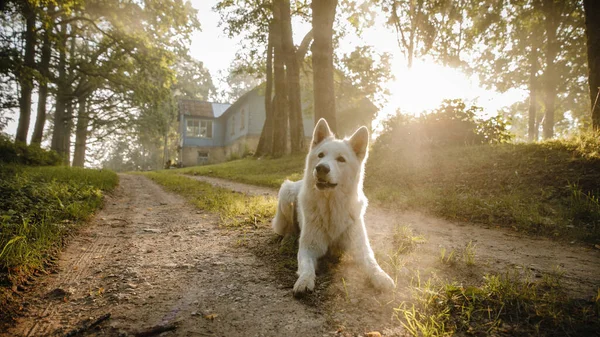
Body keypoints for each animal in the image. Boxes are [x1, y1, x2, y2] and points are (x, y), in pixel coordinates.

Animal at [272, 117, 394, 294]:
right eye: (320, 155)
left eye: (341, 159)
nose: (321, 168)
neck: (331, 206)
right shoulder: (308, 249)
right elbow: (307, 266)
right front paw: (305, 281)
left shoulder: (360, 247)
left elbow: (372, 263)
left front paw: (381, 276)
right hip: (285, 193)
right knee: (287, 230)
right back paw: (287, 240)